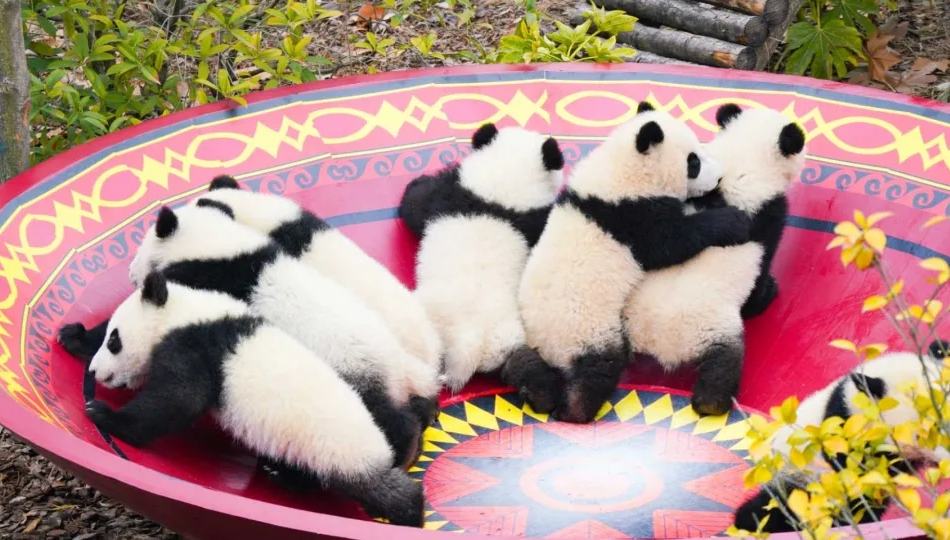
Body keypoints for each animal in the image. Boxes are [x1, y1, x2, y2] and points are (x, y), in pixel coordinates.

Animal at [62, 205, 438, 469]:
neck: (219, 245)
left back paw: (400, 448)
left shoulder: (199, 281)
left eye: (141, 249)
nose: (129, 272)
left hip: (349, 374)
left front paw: (76, 338)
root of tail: (404, 369)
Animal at [84, 272, 424, 526]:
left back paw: (410, 512)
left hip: (338, 448)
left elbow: (178, 400)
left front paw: (103, 413)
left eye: (114, 340)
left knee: (378, 487)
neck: (180, 312)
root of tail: (379, 447)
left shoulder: (194, 346)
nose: (95, 371)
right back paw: (282, 474)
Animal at [398, 124, 566, 403]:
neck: (498, 199)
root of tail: (469, 345)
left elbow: (414, 204)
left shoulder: (450, 196)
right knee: (522, 364)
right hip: (503, 337)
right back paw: (545, 393)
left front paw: (414, 183)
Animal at [516, 102, 752, 423]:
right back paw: (574, 410)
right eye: (693, 162)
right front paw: (733, 220)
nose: (718, 178)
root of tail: (546, 345)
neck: (624, 167)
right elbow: (672, 242)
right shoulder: (633, 217)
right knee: (598, 367)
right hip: (585, 326)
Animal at [623, 105, 806, 416]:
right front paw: (767, 294)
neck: (742, 159)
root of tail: (659, 344)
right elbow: (761, 267)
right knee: (723, 364)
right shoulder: (766, 216)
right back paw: (711, 403)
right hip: (713, 327)